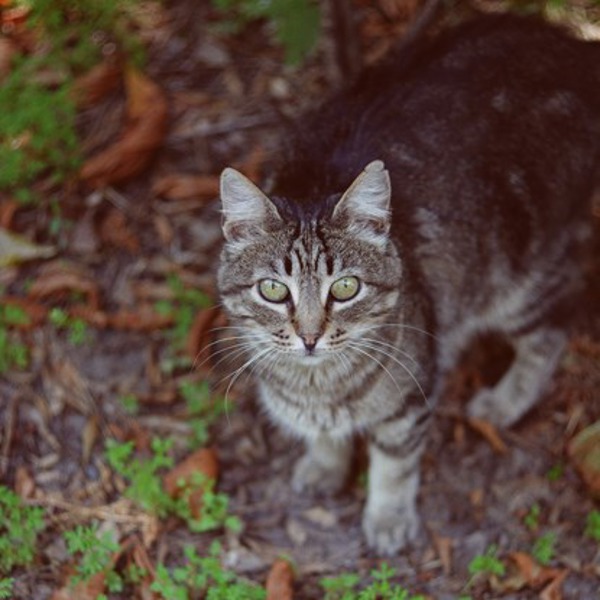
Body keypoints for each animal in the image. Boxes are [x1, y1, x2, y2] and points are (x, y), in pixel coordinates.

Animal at [217, 14, 600, 556]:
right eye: (273, 290)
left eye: (346, 288)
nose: (309, 336)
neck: (318, 387)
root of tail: (570, 44)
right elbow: (326, 439)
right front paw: (325, 467)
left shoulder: (409, 403)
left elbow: (393, 467)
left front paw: (388, 518)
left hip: (519, 277)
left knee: (554, 325)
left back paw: (504, 401)